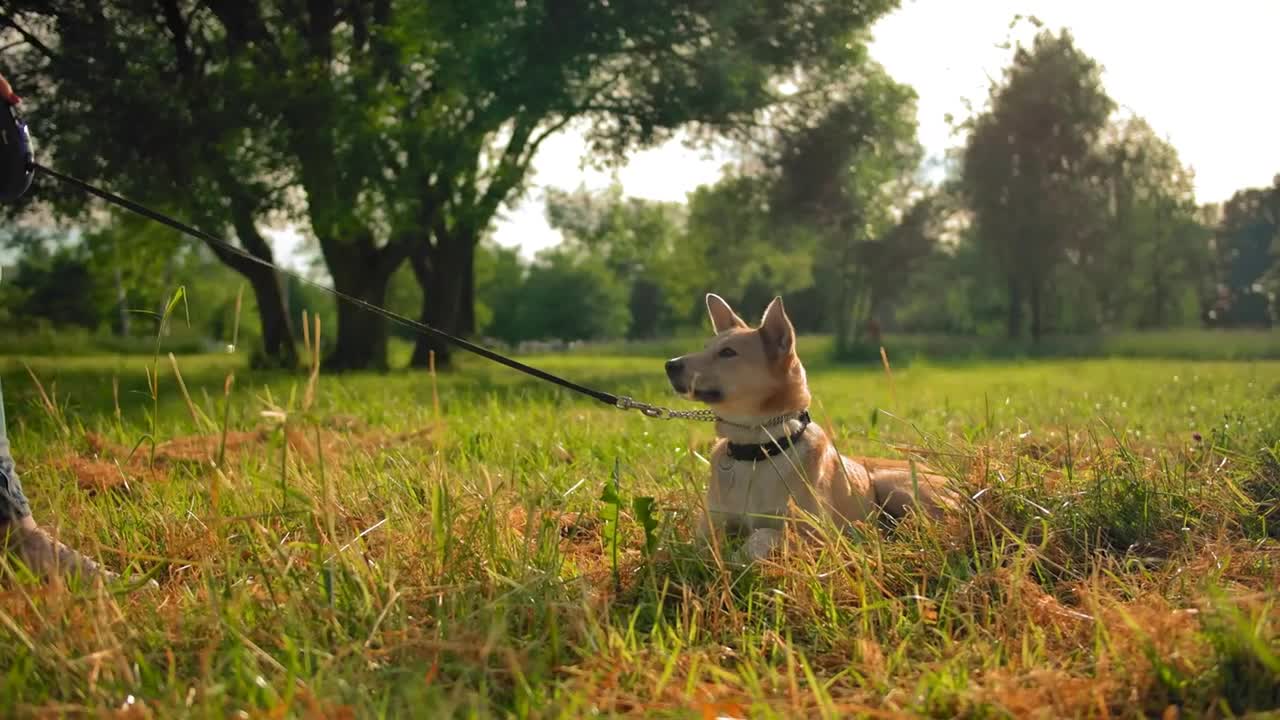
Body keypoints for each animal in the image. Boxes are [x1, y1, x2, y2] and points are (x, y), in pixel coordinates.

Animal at [665, 293, 957, 561]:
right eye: (706, 347)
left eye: (728, 352)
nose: (670, 364)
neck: (759, 448)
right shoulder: (710, 527)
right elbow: (703, 546)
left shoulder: (816, 534)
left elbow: (765, 534)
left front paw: (741, 556)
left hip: (895, 486)